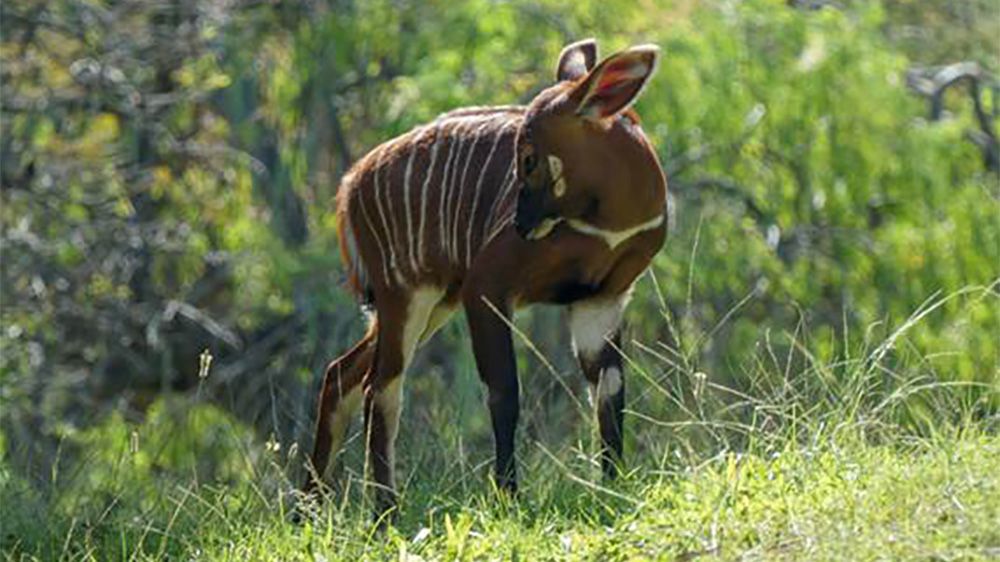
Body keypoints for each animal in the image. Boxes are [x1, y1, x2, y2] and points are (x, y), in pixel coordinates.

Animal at [304, 38, 664, 512]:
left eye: (528, 157)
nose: (519, 225)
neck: (610, 220)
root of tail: (349, 184)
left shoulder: (601, 297)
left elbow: (610, 390)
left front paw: (612, 484)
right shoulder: (488, 286)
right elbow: (504, 391)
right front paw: (509, 496)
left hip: (433, 301)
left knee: (341, 373)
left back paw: (307, 511)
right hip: (407, 294)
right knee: (378, 388)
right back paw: (386, 512)